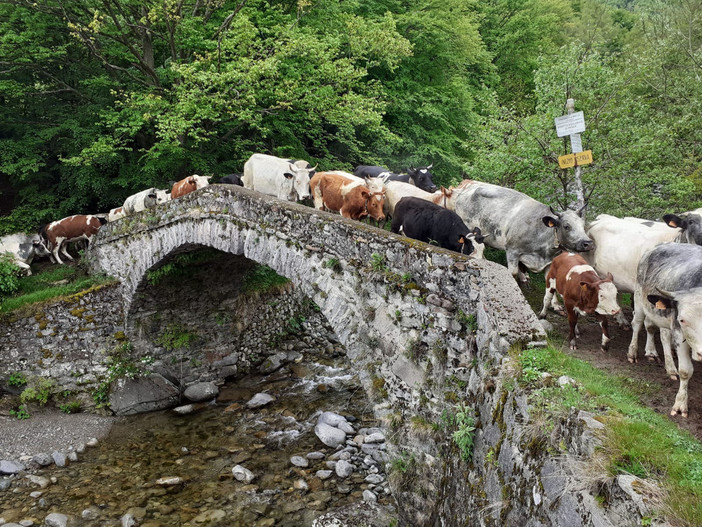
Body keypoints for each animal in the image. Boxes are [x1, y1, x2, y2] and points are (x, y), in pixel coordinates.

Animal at [628, 244, 702, 420]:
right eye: (682, 320)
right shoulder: (679, 333)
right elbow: (685, 371)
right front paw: (680, 405)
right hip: (639, 299)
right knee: (638, 324)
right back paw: (633, 353)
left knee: (660, 333)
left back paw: (666, 364)